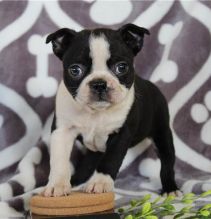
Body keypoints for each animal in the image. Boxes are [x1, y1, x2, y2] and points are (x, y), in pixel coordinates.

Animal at [43, 23, 179, 197]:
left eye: (121, 67)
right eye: (75, 70)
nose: (99, 83)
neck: (94, 113)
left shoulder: (121, 134)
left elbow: (110, 159)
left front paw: (100, 182)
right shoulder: (62, 131)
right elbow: (59, 159)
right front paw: (58, 185)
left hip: (162, 133)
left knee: (167, 160)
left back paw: (170, 188)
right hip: (95, 149)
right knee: (88, 163)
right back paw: (76, 180)